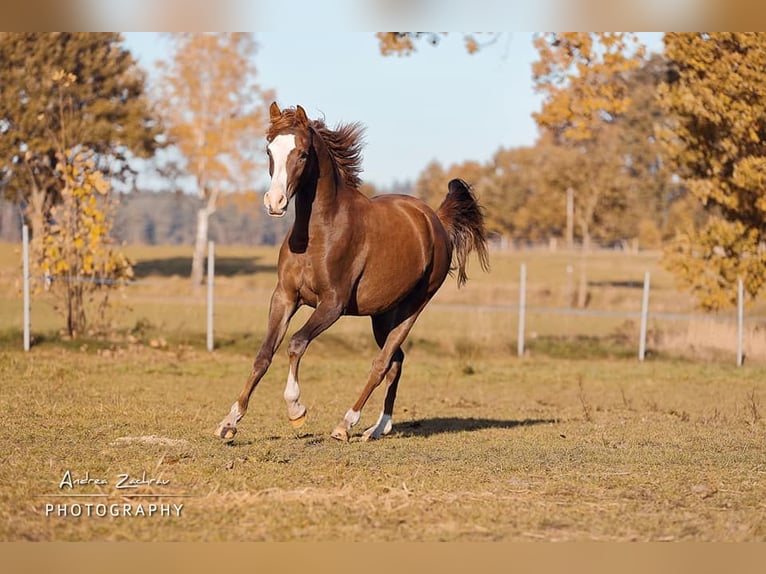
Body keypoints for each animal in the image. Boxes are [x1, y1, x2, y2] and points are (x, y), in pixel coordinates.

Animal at [214, 103, 492, 444]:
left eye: (302, 154)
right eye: (269, 150)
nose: (275, 202)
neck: (318, 233)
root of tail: (435, 220)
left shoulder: (332, 305)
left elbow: (296, 343)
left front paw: (296, 409)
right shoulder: (284, 297)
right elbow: (263, 355)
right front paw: (229, 422)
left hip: (412, 309)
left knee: (382, 363)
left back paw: (345, 424)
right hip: (383, 315)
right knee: (396, 362)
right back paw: (379, 427)